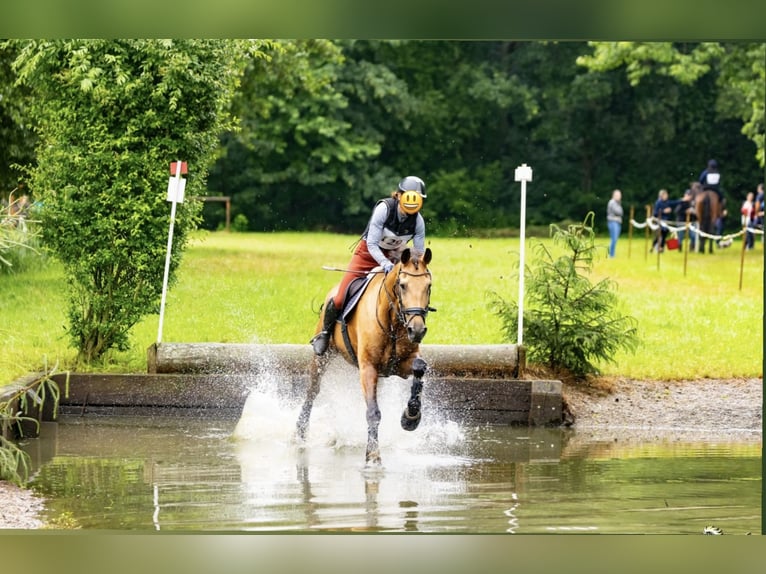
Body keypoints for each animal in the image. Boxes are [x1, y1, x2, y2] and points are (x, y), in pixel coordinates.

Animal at [296, 248, 436, 468]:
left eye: (428, 286)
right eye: (403, 286)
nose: (417, 330)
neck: (393, 322)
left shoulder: (401, 365)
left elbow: (419, 367)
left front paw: (411, 417)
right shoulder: (368, 367)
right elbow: (373, 412)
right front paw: (373, 456)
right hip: (322, 356)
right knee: (313, 390)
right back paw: (301, 434)